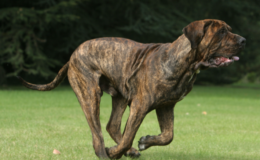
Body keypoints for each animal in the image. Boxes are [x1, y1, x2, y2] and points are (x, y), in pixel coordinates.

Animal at [18, 19, 246, 159]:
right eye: (222, 32)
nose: (243, 40)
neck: (186, 64)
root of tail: (72, 56)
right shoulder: (140, 104)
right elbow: (129, 135)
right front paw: (116, 152)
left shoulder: (166, 106)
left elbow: (168, 135)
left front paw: (144, 142)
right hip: (90, 95)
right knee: (97, 133)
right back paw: (106, 153)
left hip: (119, 96)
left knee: (112, 125)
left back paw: (129, 151)